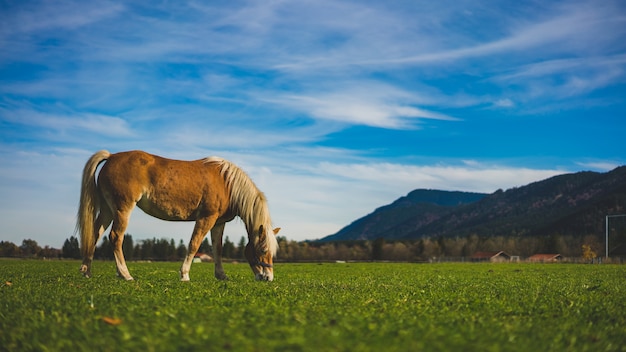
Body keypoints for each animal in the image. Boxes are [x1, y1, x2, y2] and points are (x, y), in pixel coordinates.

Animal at [74, 150, 280, 282]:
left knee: (95, 235)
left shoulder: (218, 223)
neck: (227, 184)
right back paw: (125, 274)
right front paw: (184, 275)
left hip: (108, 210)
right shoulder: (206, 218)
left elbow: (217, 249)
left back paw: (86, 271)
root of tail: (111, 157)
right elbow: (194, 244)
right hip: (122, 209)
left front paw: (221, 276)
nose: (268, 277)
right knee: (115, 237)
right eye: (262, 250)